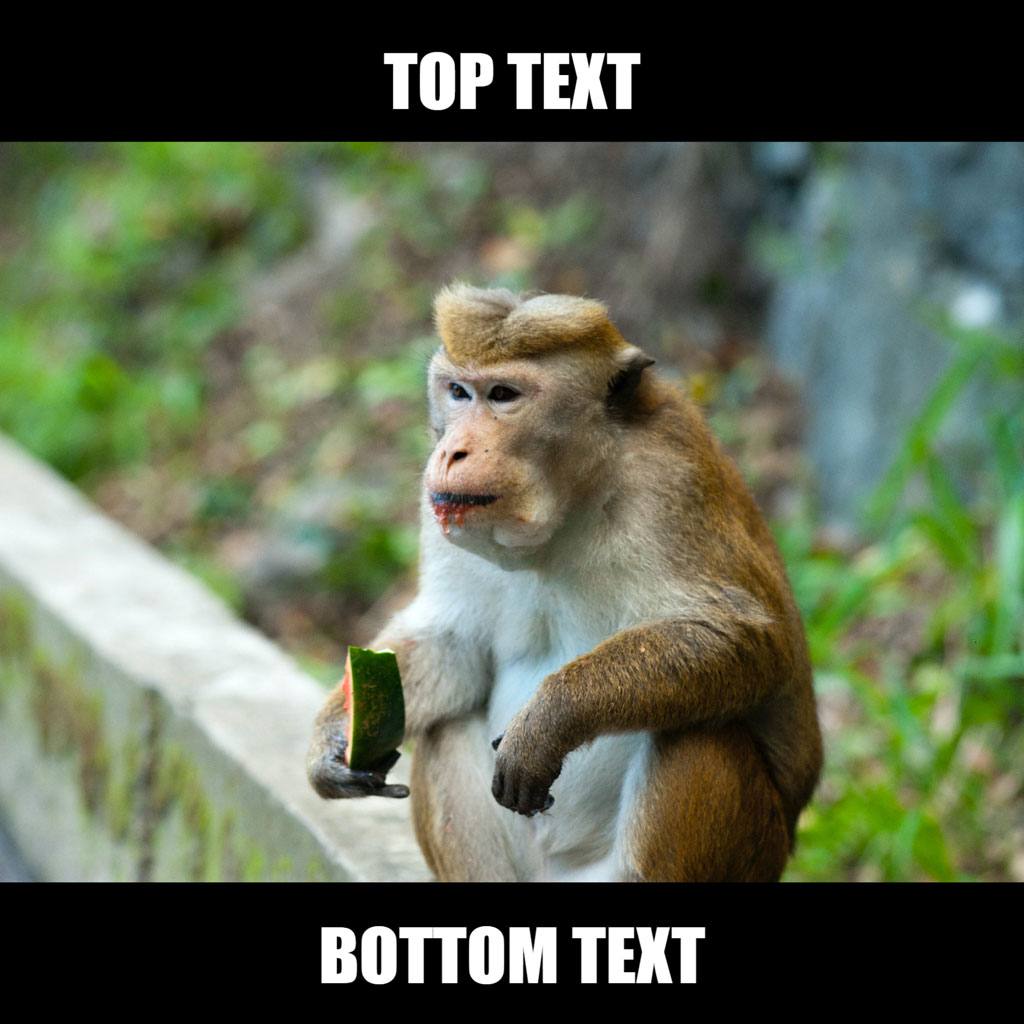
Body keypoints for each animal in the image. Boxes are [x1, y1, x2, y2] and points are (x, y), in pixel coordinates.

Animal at [307, 283, 822, 882]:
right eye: (458, 392)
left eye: (503, 395)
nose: (451, 450)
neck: (571, 502)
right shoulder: (440, 508)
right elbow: (452, 642)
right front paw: (332, 738)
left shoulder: (670, 480)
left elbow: (746, 639)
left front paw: (549, 719)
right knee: (445, 725)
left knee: (698, 730)